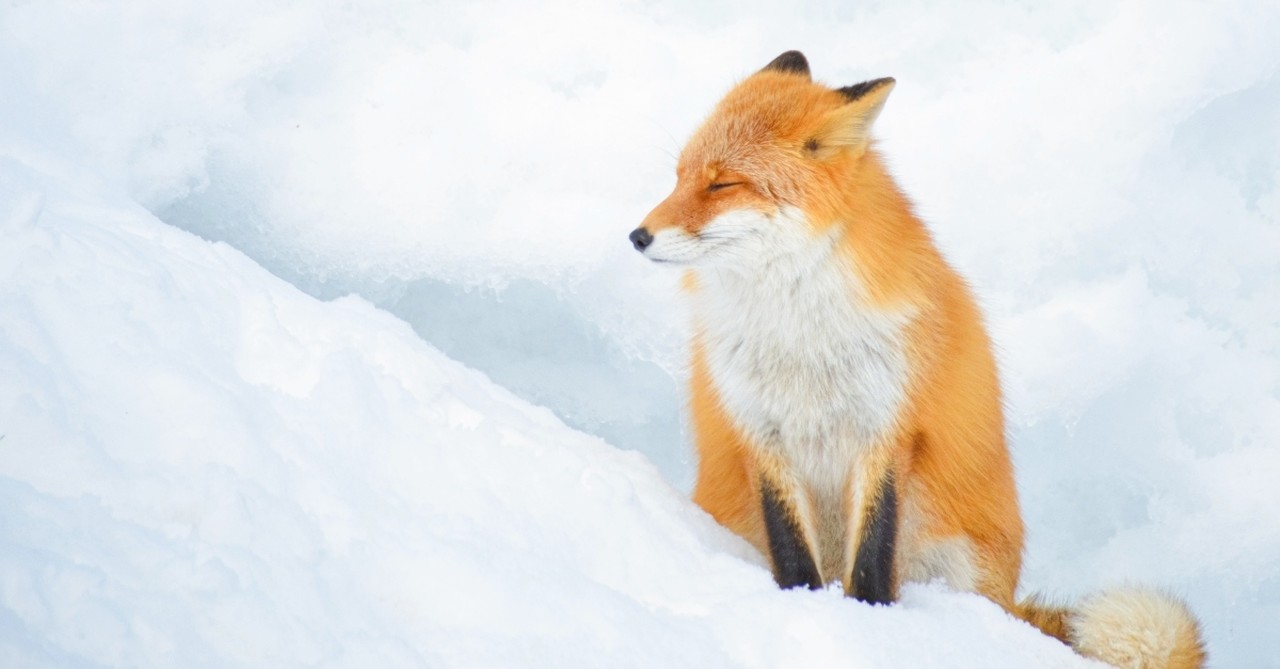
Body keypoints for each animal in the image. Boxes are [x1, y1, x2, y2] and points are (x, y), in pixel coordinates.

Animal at [629, 51, 1206, 669]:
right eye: (679, 177)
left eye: (723, 183)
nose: (637, 236)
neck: (799, 335)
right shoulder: (760, 431)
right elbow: (793, 556)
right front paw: (806, 609)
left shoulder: (886, 428)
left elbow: (871, 560)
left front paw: (872, 627)